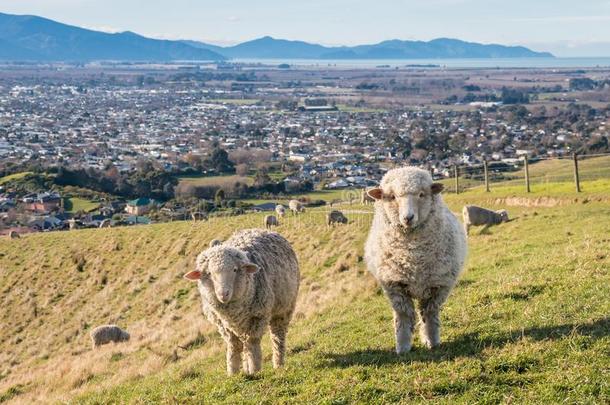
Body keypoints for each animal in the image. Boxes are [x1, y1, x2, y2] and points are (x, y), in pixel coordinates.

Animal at [185, 229, 300, 374]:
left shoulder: (258, 316)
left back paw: (278, 363)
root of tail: (260, 229)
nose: (223, 294)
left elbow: (252, 343)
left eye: (235, 269)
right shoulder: (223, 324)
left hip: (284, 308)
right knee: (244, 344)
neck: (231, 312)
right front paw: (233, 372)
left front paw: (255, 369)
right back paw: (246, 369)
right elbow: (234, 345)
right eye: (209, 273)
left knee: (277, 336)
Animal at [364, 167, 468, 354]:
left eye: (421, 194)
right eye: (392, 196)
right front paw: (403, 347)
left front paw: (432, 341)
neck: (413, 257)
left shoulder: (438, 286)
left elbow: (429, 314)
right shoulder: (395, 286)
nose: (408, 217)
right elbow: (404, 316)